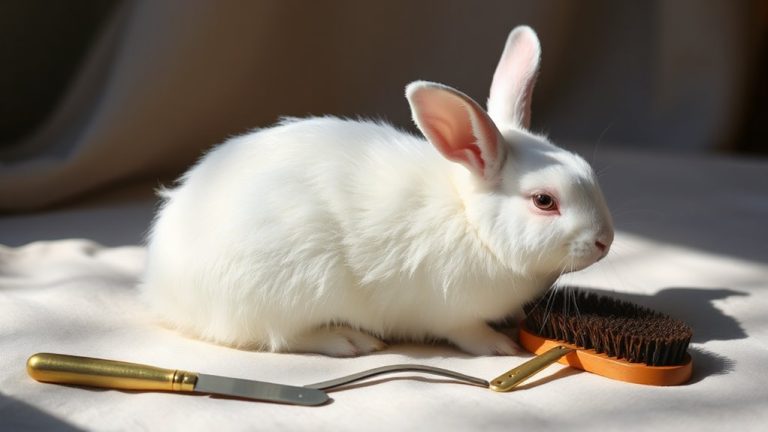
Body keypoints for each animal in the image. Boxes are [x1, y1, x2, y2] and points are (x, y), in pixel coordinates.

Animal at [140, 26, 614, 357]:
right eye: (544, 201)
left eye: (589, 171)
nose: (605, 242)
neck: (472, 223)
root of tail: (164, 288)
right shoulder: (448, 310)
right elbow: (466, 331)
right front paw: (500, 345)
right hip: (290, 289)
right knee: (282, 337)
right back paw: (348, 340)